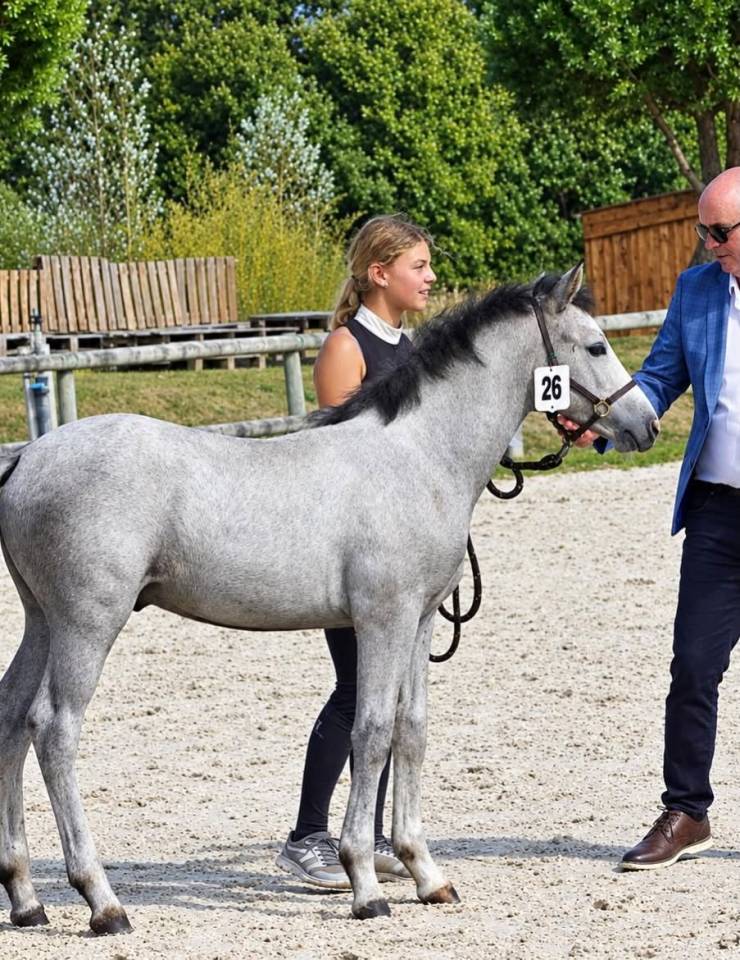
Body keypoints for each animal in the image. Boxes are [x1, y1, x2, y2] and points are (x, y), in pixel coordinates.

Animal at [0, 265, 658, 934]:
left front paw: (427, 876)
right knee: (54, 729)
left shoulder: (420, 620)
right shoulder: (382, 618)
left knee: (10, 721)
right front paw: (366, 884)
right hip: (88, 622)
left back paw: (26, 899)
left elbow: (411, 729)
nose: (647, 424)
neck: (418, 456)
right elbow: (370, 732)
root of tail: (27, 455)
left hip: (43, 621)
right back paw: (103, 902)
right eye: (596, 346)